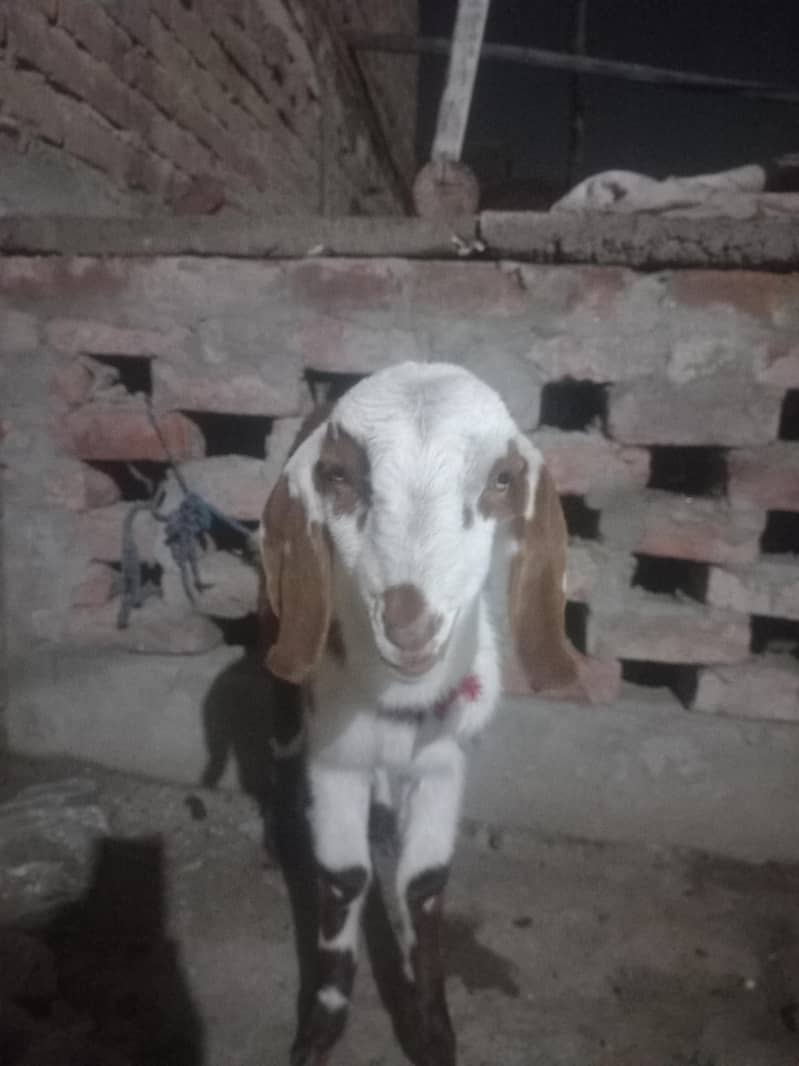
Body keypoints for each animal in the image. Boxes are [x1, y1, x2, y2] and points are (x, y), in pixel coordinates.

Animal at [260, 361, 577, 1066]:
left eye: (502, 479)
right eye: (339, 477)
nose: (411, 625)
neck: (397, 701)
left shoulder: (444, 765)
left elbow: (424, 883)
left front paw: (431, 1028)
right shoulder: (336, 759)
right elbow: (344, 877)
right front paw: (320, 1028)